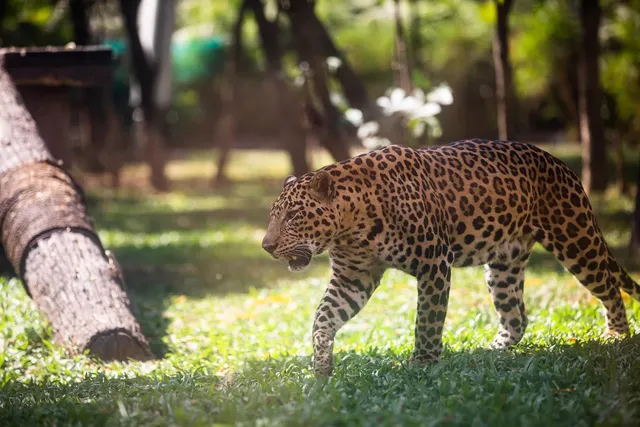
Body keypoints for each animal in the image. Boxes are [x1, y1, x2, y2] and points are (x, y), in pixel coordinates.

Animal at [262, 139, 640, 377]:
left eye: (293, 216)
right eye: (274, 215)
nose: (266, 245)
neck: (351, 225)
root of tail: (562, 165)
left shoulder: (433, 263)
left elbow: (428, 319)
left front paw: (423, 362)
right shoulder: (353, 277)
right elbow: (324, 317)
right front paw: (321, 365)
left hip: (575, 239)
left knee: (608, 286)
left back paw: (617, 336)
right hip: (504, 265)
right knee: (516, 316)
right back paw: (489, 352)